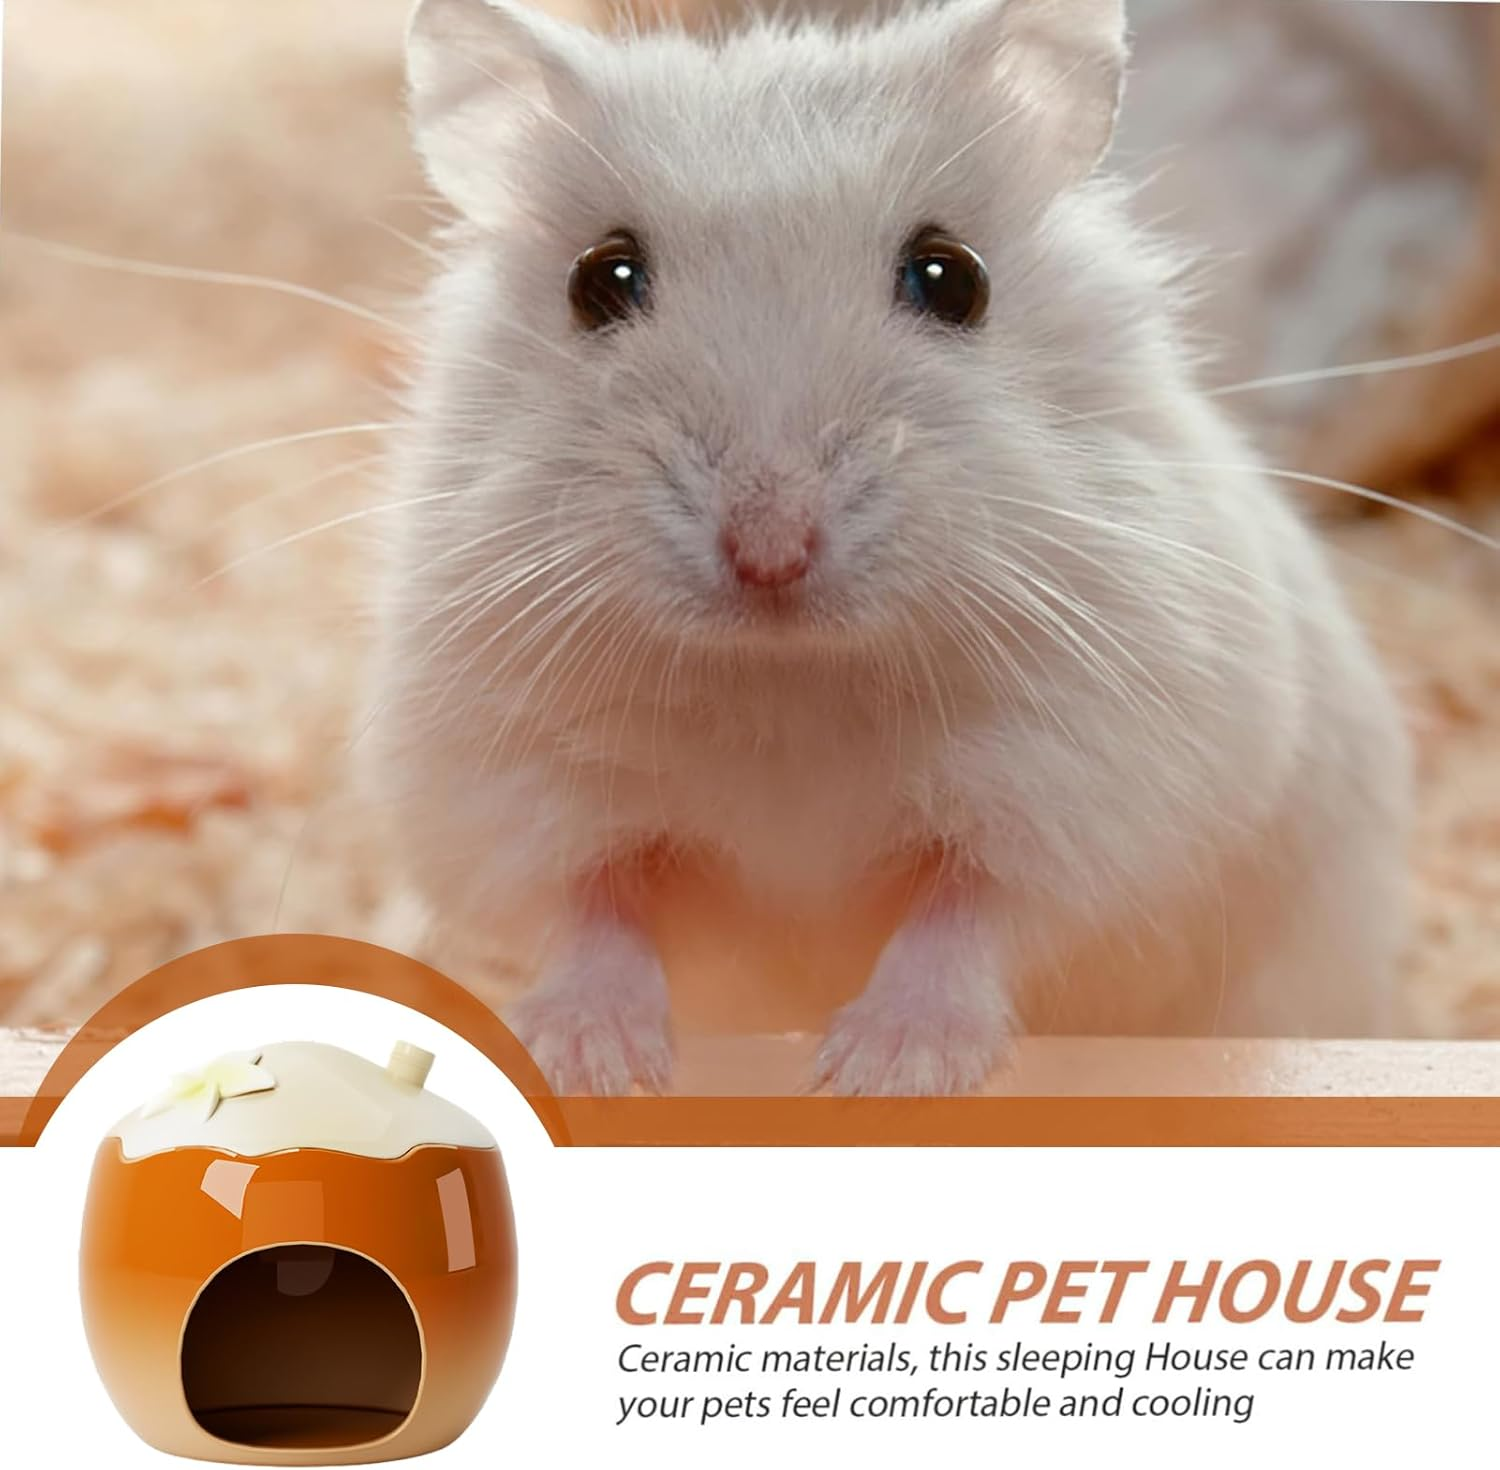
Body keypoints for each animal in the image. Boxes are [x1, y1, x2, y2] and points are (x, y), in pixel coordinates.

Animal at [369, 0, 1411, 1094]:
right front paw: (590, 1061)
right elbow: (594, 909)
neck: (789, 683)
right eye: (599, 280)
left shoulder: (1093, 787)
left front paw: (879, 1070)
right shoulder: (510, 786)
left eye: (952, 279)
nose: (771, 551)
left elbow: (969, 914)